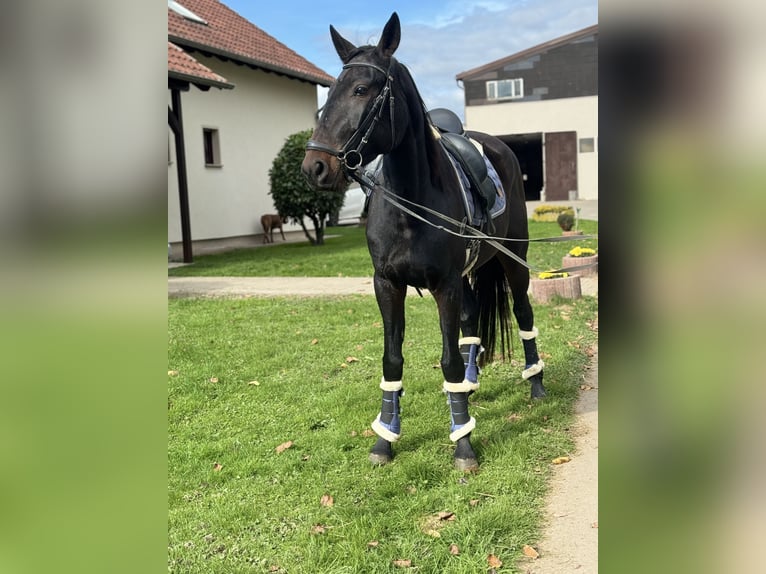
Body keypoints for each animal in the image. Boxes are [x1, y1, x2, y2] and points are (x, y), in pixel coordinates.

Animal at [302, 12, 545, 471]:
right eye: (329, 94)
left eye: (361, 89)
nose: (314, 167)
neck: (409, 204)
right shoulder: (387, 284)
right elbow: (393, 358)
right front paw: (386, 437)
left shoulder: (444, 285)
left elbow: (447, 359)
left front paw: (463, 443)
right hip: (470, 273)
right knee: (472, 320)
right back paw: (469, 387)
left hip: (513, 261)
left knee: (522, 313)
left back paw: (536, 382)